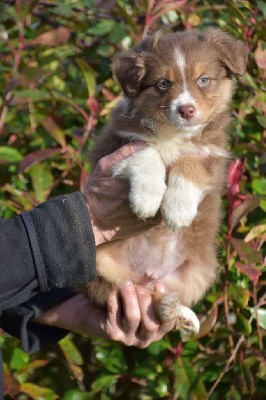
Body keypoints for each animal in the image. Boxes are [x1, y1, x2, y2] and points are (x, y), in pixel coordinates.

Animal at [81, 28, 249, 334]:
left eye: (203, 80)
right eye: (162, 84)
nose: (187, 110)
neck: (173, 133)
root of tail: (148, 275)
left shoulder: (213, 157)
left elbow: (189, 162)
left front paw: (177, 209)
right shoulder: (116, 145)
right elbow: (148, 151)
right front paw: (147, 198)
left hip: (203, 270)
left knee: (157, 296)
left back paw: (176, 312)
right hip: (95, 262)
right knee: (120, 292)